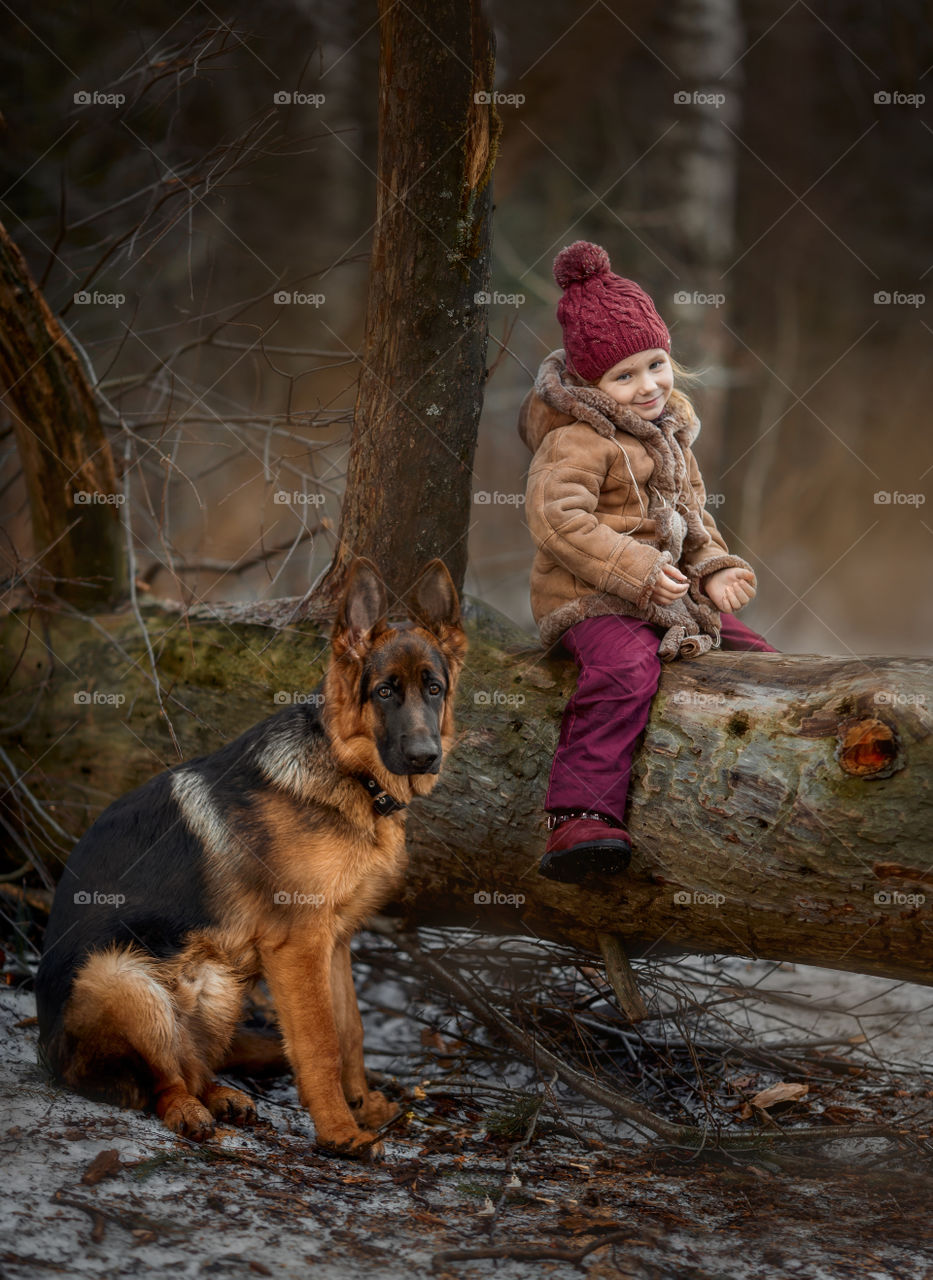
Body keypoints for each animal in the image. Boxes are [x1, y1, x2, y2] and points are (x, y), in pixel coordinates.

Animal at [36, 560, 465, 1162]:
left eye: (434, 689)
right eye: (384, 692)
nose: (427, 756)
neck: (346, 772)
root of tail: (44, 1051)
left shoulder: (334, 940)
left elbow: (350, 1031)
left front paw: (362, 1105)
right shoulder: (298, 946)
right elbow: (319, 1042)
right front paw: (339, 1132)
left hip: (219, 981)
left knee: (191, 1065)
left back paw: (220, 1095)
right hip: (124, 979)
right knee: (161, 1081)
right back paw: (188, 1110)